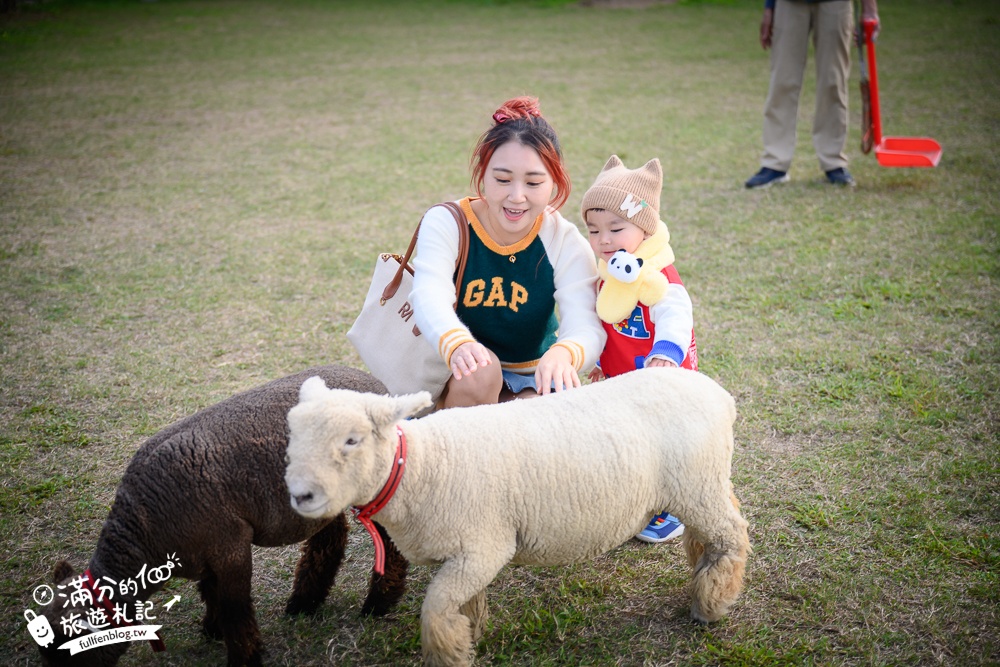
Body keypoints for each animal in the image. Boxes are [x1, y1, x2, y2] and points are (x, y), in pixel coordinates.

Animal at [37, 368, 408, 664]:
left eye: (69, 648)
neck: (145, 533)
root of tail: (378, 387)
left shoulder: (231, 548)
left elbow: (235, 611)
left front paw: (244, 657)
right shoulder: (208, 552)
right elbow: (211, 593)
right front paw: (211, 629)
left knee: (388, 542)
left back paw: (379, 603)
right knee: (330, 538)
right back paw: (304, 603)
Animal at [286, 370, 748, 667]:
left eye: (352, 440)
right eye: (293, 435)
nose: (300, 495)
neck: (423, 466)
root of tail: (720, 395)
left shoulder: (485, 548)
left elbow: (435, 609)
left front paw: (448, 655)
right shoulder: (464, 556)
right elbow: (464, 603)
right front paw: (470, 635)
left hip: (696, 483)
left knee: (734, 535)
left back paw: (711, 601)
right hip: (702, 485)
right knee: (716, 527)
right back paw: (704, 573)